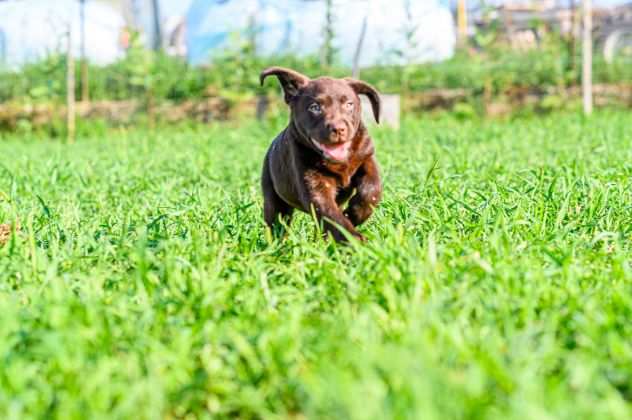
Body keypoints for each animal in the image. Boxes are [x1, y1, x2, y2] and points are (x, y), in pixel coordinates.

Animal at [260, 67, 382, 241]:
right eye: (315, 107)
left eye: (349, 104)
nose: (338, 129)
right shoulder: (314, 185)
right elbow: (332, 217)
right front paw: (356, 241)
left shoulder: (366, 157)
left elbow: (372, 189)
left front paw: (354, 214)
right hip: (273, 196)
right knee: (276, 223)